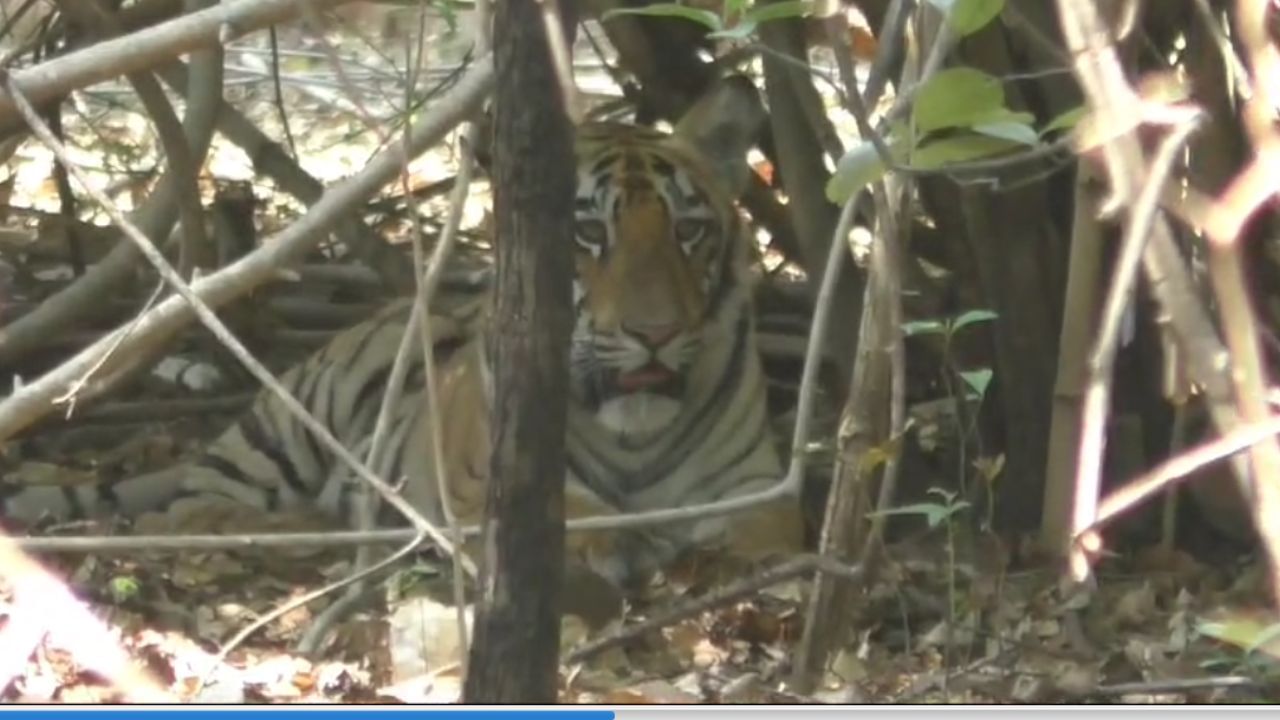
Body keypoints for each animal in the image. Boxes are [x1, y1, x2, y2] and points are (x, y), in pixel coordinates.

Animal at [2, 74, 798, 589]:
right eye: (588, 232)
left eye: (688, 231)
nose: (654, 333)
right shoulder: (480, 483)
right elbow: (572, 513)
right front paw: (622, 542)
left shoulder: (755, 484)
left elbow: (768, 531)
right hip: (287, 428)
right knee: (201, 500)